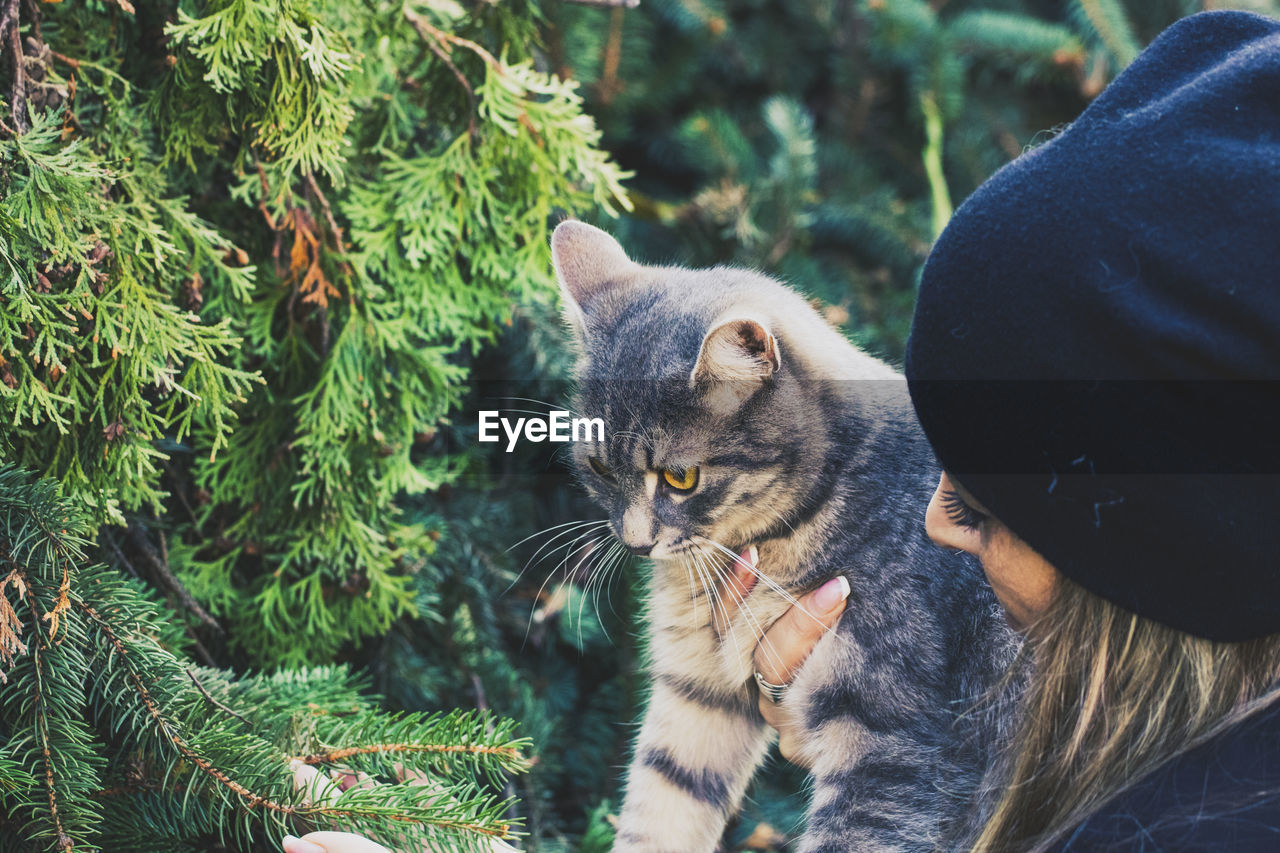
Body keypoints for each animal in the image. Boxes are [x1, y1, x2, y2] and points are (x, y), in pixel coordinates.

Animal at [550, 220, 1018, 850]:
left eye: (681, 477)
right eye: (599, 467)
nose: (635, 542)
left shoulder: (894, 745)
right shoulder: (698, 692)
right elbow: (661, 807)